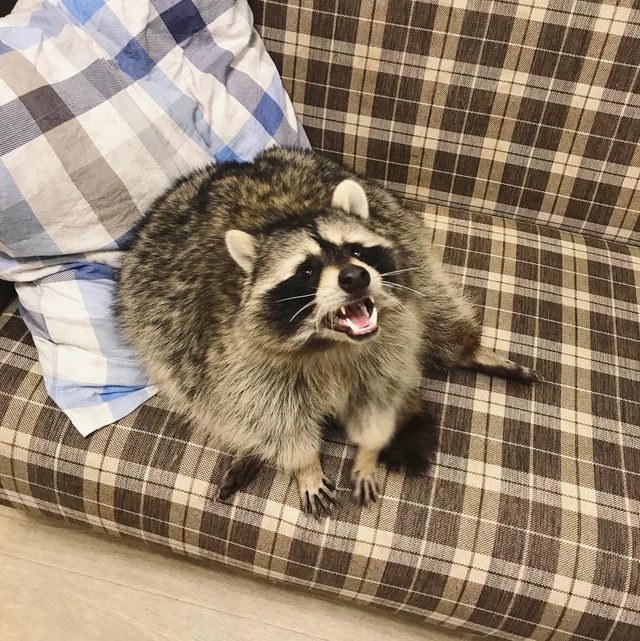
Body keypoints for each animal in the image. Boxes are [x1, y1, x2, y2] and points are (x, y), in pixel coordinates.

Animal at [117, 148, 538, 516]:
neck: (330, 344)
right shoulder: (236, 355)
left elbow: (386, 386)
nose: (355, 277)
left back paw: (469, 347)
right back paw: (251, 449)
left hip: (407, 238)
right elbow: (270, 415)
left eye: (356, 250)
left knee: (437, 305)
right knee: (215, 402)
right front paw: (305, 464)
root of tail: (238, 165)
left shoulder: (394, 334)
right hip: (158, 333)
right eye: (307, 270)